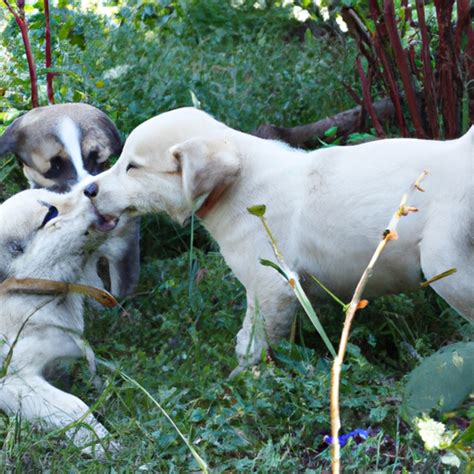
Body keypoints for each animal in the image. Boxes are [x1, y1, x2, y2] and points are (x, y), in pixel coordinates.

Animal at [83, 106, 472, 366]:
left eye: (132, 167)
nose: (88, 190)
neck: (240, 183)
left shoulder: (272, 287)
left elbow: (255, 341)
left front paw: (243, 379)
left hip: (445, 261)